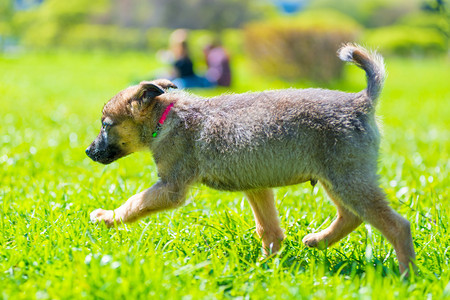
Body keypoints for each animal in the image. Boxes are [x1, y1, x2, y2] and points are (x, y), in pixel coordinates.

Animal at [86, 43, 416, 276]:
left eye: (106, 125)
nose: (88, 151)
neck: (167, 116)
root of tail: (361, 100)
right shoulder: (256, 185)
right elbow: (268, 230)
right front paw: (264, 267)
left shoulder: (171, 187)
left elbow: (134, 203)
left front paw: (107, 217)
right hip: (337, 179)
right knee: (352, 216)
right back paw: (318, 240)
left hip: (347, 178)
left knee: (396, 225)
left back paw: (406, 276)